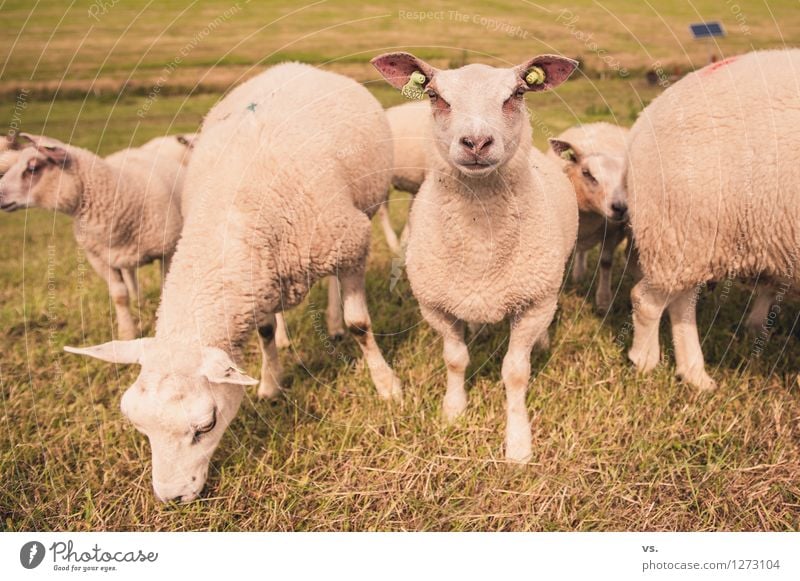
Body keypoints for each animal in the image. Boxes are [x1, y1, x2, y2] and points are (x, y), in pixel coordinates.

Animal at [0, 133, 186, 338]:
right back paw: (139, 301)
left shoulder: (168, 250)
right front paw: (127, 333)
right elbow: (119, 296)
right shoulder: (99, 260)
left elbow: (166, 288)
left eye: (32, 168)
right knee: (130, 272)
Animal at [65, 61, 404, 500]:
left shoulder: (349, 240)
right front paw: (271, 383)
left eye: (206, 425)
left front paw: (387, 385)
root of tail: (294, 66)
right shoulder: (259, 279)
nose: (172, 497)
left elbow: (360, 325)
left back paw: (333, 323)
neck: (228, 216)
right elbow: (264, 333)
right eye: (138, 424)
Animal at [372, 52, 580, 460]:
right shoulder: (435, 305)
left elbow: (515, 372)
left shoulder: (533, 302)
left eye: (517, 93)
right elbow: (455, 359)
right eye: (435, 96)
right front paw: (453, 412)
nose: (477, 142)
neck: (481, 242)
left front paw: (518, 443)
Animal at [548, 122, 636, 312]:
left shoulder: (612, 232)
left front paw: (603, 301)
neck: (589, 213)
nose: (620, 208)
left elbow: (606, 262)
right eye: (587, 173)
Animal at [624, 51, 800, 390]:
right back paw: (645, 361)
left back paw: (694, 375)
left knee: (682, 302)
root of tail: (645, 118)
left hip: (699, 237)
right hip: (681, 229)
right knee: (649, 300)